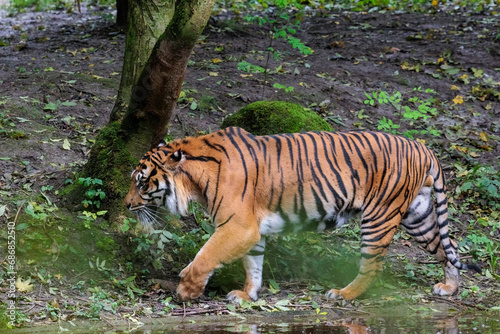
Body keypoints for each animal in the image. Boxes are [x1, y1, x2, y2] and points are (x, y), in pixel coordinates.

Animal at [125, 126, 480, 302]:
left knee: (372, 265)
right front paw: (248, 295)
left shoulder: (237, 226)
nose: (127, 205)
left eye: (141, 182)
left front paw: (186, 289)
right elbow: (253, 265)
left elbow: (206, 255)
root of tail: (422, 146)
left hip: (379, 218)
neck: (196, 180)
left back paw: (343, 294)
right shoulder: (252, 231)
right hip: (418, 217)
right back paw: (449, 288)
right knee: (449, 249)